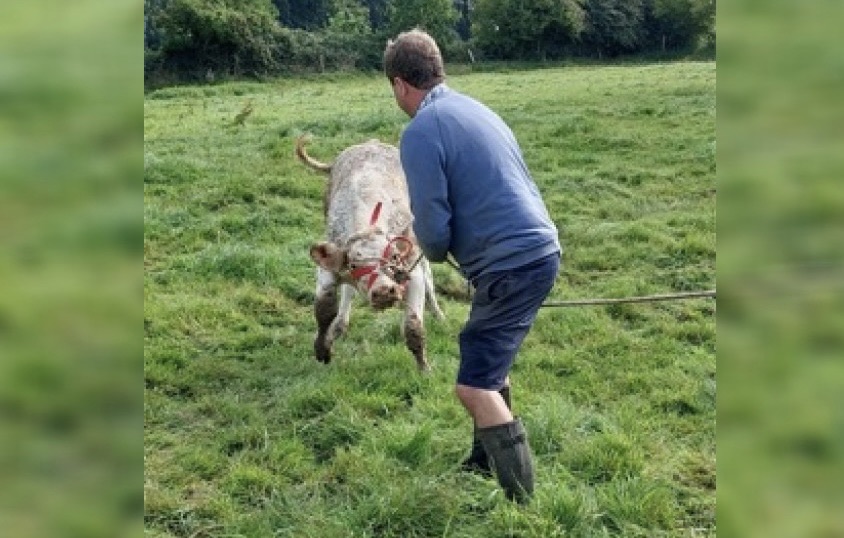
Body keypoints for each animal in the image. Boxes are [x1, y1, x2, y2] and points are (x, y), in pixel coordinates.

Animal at [296, 136, 444, 372]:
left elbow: (413, 327)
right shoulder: (329, 268)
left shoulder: (411, 271)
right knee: (347, 292)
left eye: (394, 257)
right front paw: (323, 348)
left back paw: (438, 313)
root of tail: (371, 142)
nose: (384, 291)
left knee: (428, 271)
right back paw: (340, 325)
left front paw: (424, 369)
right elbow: (324, 310)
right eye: (354, 265)